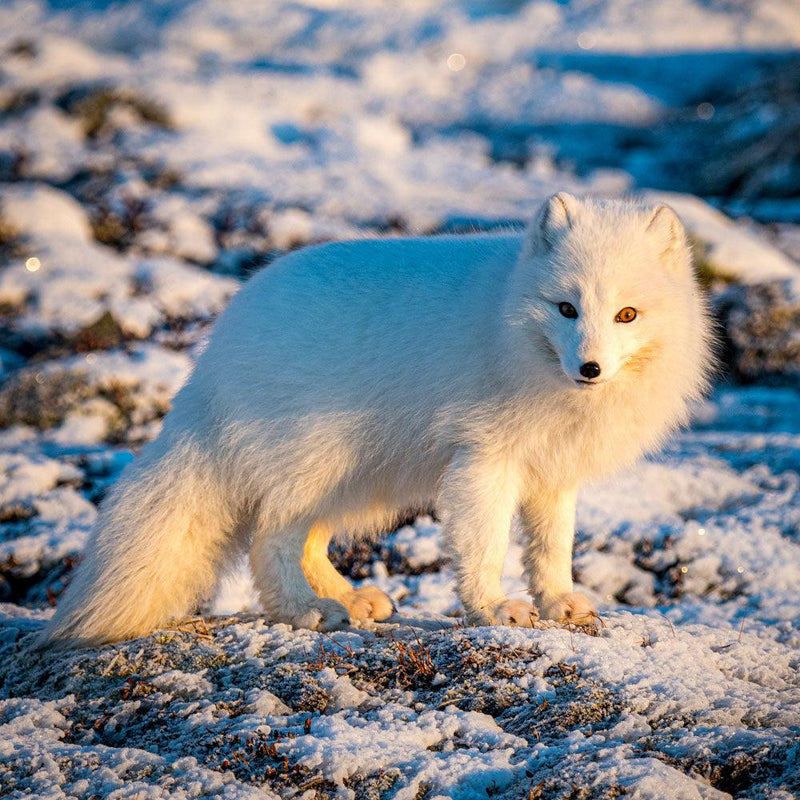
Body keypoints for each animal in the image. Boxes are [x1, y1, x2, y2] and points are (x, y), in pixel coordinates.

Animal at [39, 195, 712, 648]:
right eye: (566, 308)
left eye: (627, 314)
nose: (590, 367)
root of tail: (215, 353)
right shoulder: (484, 457)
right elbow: (486, 543)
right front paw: (494, 609)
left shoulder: (552, 472)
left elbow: (552, 546)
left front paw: (559, 603)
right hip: (313, 462)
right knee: (269, 540)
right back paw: (307, 612)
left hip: (359, 479)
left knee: (308, 540)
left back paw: (349, 599)